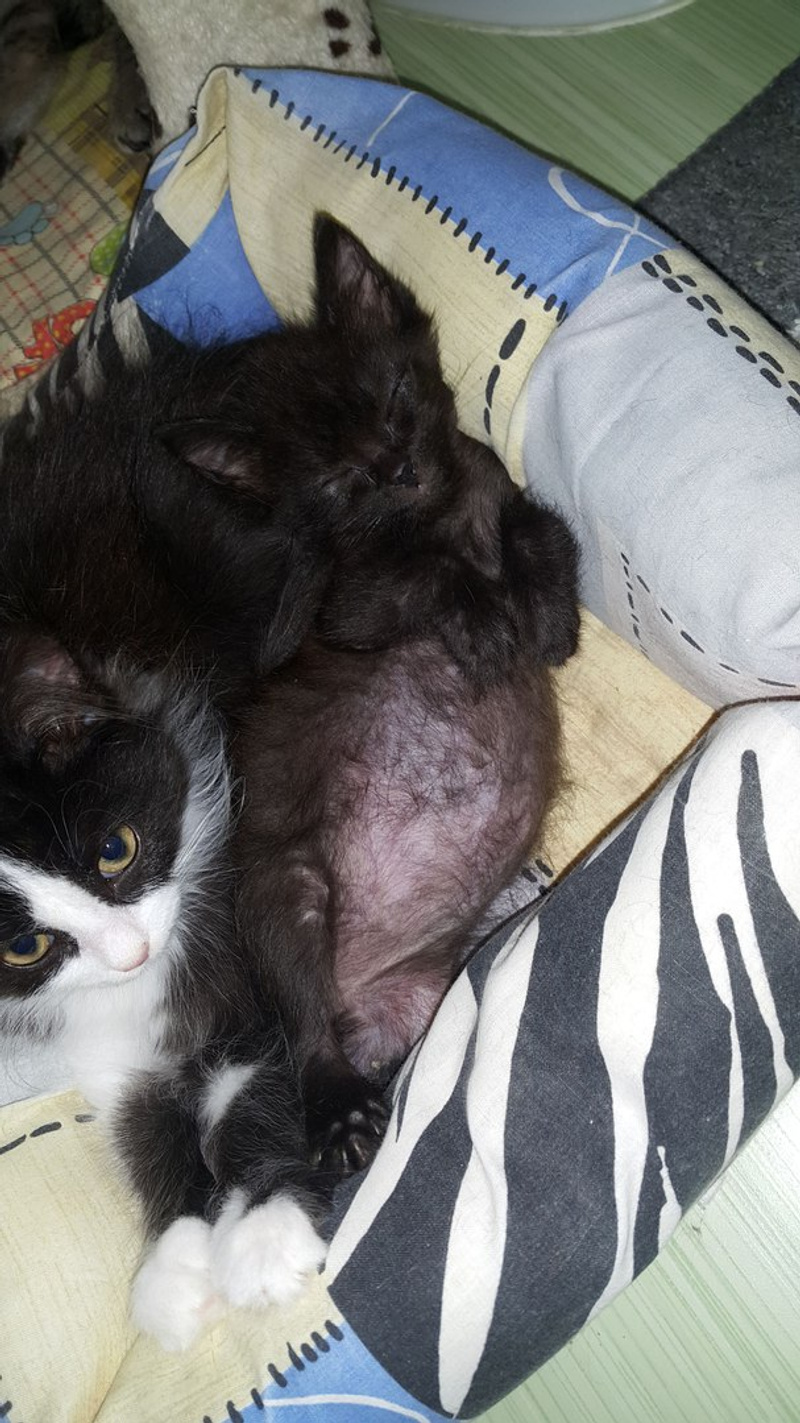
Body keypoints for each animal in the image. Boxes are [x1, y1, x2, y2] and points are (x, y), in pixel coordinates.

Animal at [0, 626, 329, 1351]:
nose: (133, 954)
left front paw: (262, 1232)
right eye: (23, 947)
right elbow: (141, 1125)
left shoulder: (247, 956)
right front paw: (176, 1263)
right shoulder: (105, 1045)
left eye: (115, 850)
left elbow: (262, 1081)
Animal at [164, 216, 581, 1177]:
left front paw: (536, 601)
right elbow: (417, 575)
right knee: (306, 1025)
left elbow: (535, 529)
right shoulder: (343, 602)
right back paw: (335, 1113)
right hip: (286, 884)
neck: (436, 513)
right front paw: (479, 614)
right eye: (332, 475)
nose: (394, 466)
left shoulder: (503, 503)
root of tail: (362, 1003)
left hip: (440, 987)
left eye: (394, 394)